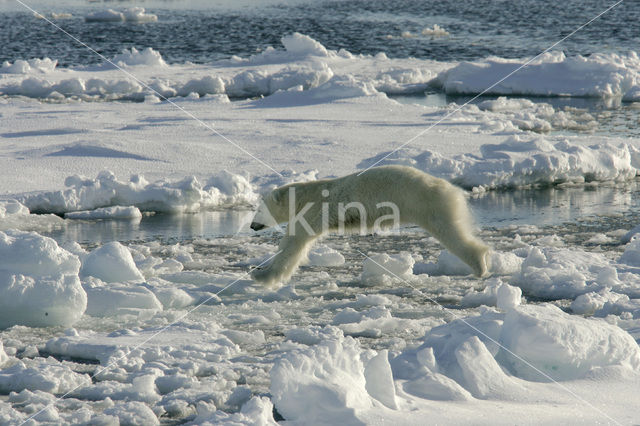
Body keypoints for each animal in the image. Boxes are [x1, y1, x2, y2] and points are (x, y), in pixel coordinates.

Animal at [250, 165, 490, 288]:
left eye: (258, 210)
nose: (252, 226)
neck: (304, 196)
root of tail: (452, 188)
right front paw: (260, 270)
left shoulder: (315, 210)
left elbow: (294, 242)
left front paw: (262, 275)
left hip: (426, 203)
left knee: (450, 233)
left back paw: (479, 266)